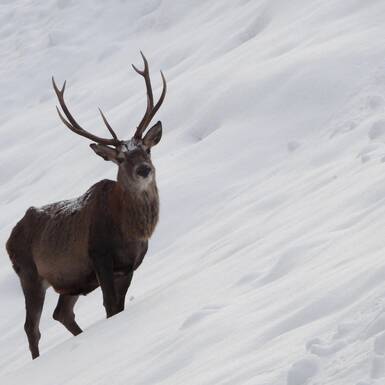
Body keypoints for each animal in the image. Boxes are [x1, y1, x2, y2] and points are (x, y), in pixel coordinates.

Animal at [5, 52, 165, 358]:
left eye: (147, 149)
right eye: (120, 159)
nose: (144, 169)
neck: (131, 232)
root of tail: (8, 239)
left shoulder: (129, 266)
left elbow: (118, 307)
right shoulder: (99, 255)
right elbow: (110, 307)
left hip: (69, 282)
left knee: (61, 313)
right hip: (28, 273)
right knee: (32, 327)